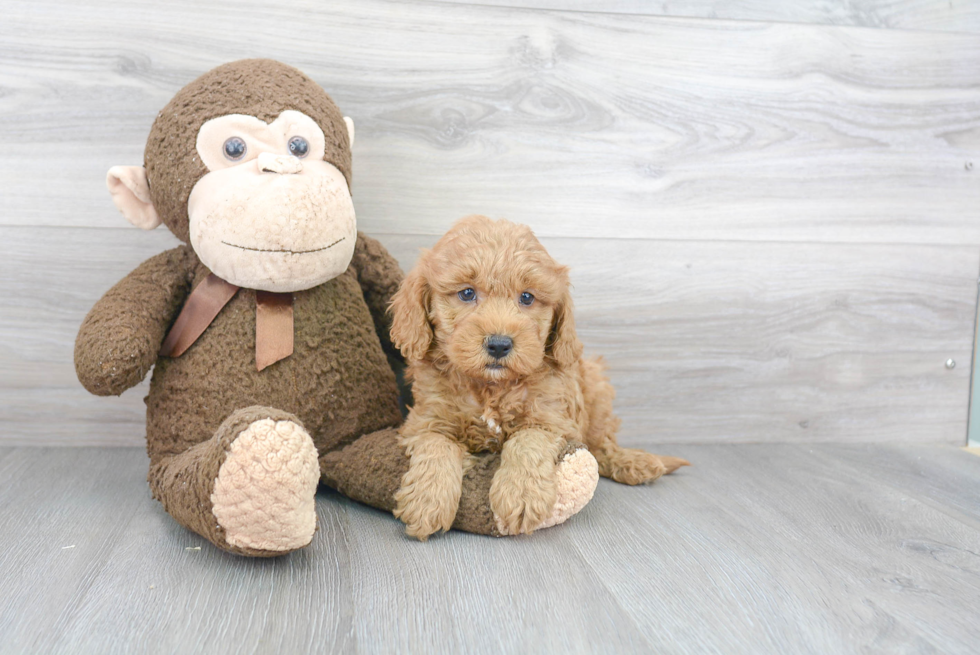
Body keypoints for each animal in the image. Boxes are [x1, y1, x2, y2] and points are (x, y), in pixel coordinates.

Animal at [386, 218, 684, 540]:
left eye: (527, 297)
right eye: (466, 293)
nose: (499, 345)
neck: (491, 387)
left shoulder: (552, 418)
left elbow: (527, 440)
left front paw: (521, 495)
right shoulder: (425, 419)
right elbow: (436, 446)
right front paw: (427, 502)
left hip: (596, 384)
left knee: (600, 445)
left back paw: (634, 462)